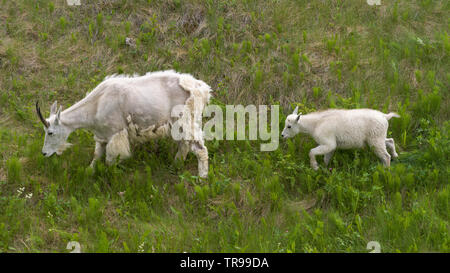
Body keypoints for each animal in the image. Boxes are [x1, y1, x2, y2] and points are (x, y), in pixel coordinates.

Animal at [36, 69, 212, 176]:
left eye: (50, 132)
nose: (44, 153)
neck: (97, 104)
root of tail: (201, 89)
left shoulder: (116, 133)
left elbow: (110, 159)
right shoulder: (102, 135)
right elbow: (97, 155)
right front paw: (89, 171)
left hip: (187, 121)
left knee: (200, 149)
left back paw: (201, 178)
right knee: (185, 145)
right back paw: (175, 165)